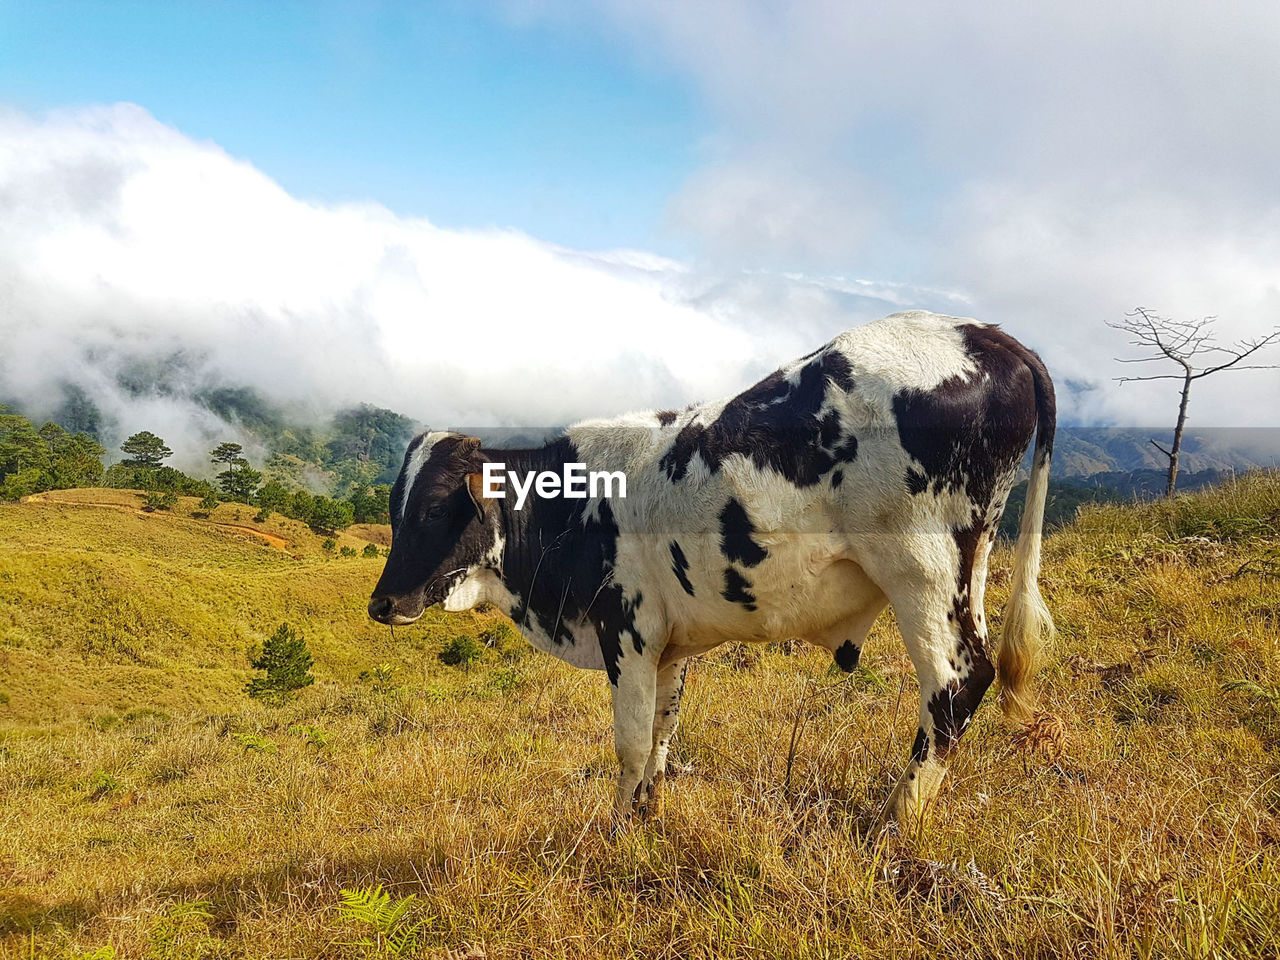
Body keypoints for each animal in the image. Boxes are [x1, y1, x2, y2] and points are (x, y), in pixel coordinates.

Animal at [366, 312, 1054, 829]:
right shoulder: (668, 646)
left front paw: (618, 831)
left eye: (435, 509)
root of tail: (983, 334)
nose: (381, 604)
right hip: (969, 570)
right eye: (396, 510)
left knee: (955, 684)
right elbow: (661, 738)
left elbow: (630, 741)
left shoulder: (628, 631)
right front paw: (647, 815)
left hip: (922, 573)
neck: (574, 502)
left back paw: (896, 819)